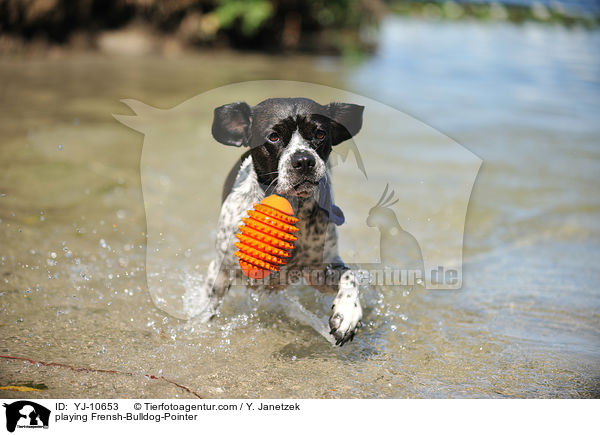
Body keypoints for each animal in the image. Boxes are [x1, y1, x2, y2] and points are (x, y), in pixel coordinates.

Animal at [199, 97, 364, 346]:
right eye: (273, 136)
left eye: (320, 133)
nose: (304, 160)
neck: (294, 208)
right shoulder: (221, 271)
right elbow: (208, 307)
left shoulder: (320, 272)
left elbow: (350, 276)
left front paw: (348, 313)